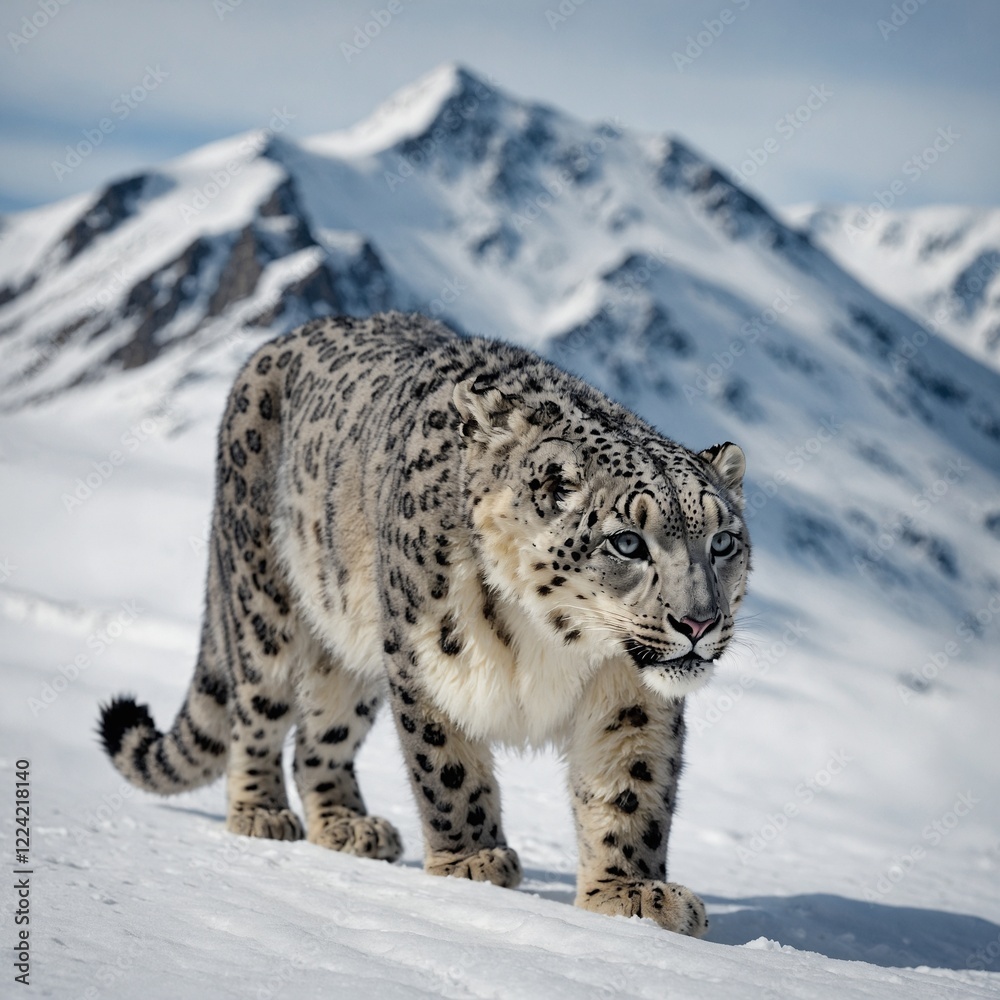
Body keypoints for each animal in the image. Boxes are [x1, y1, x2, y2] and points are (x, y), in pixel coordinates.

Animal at [98, 311, 749, 936]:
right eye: (627, 542)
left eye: (722, 541)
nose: (698, 622)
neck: (552, 640)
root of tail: (274, 344)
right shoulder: (428, 656)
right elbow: (447, 767)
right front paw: (471, 863)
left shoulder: (630, 692)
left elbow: (630, 785)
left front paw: (631, 894)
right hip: (265, 604)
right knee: (257, 714)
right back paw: (262, 813)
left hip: (348, 655)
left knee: (318, 737)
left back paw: (348, 825)